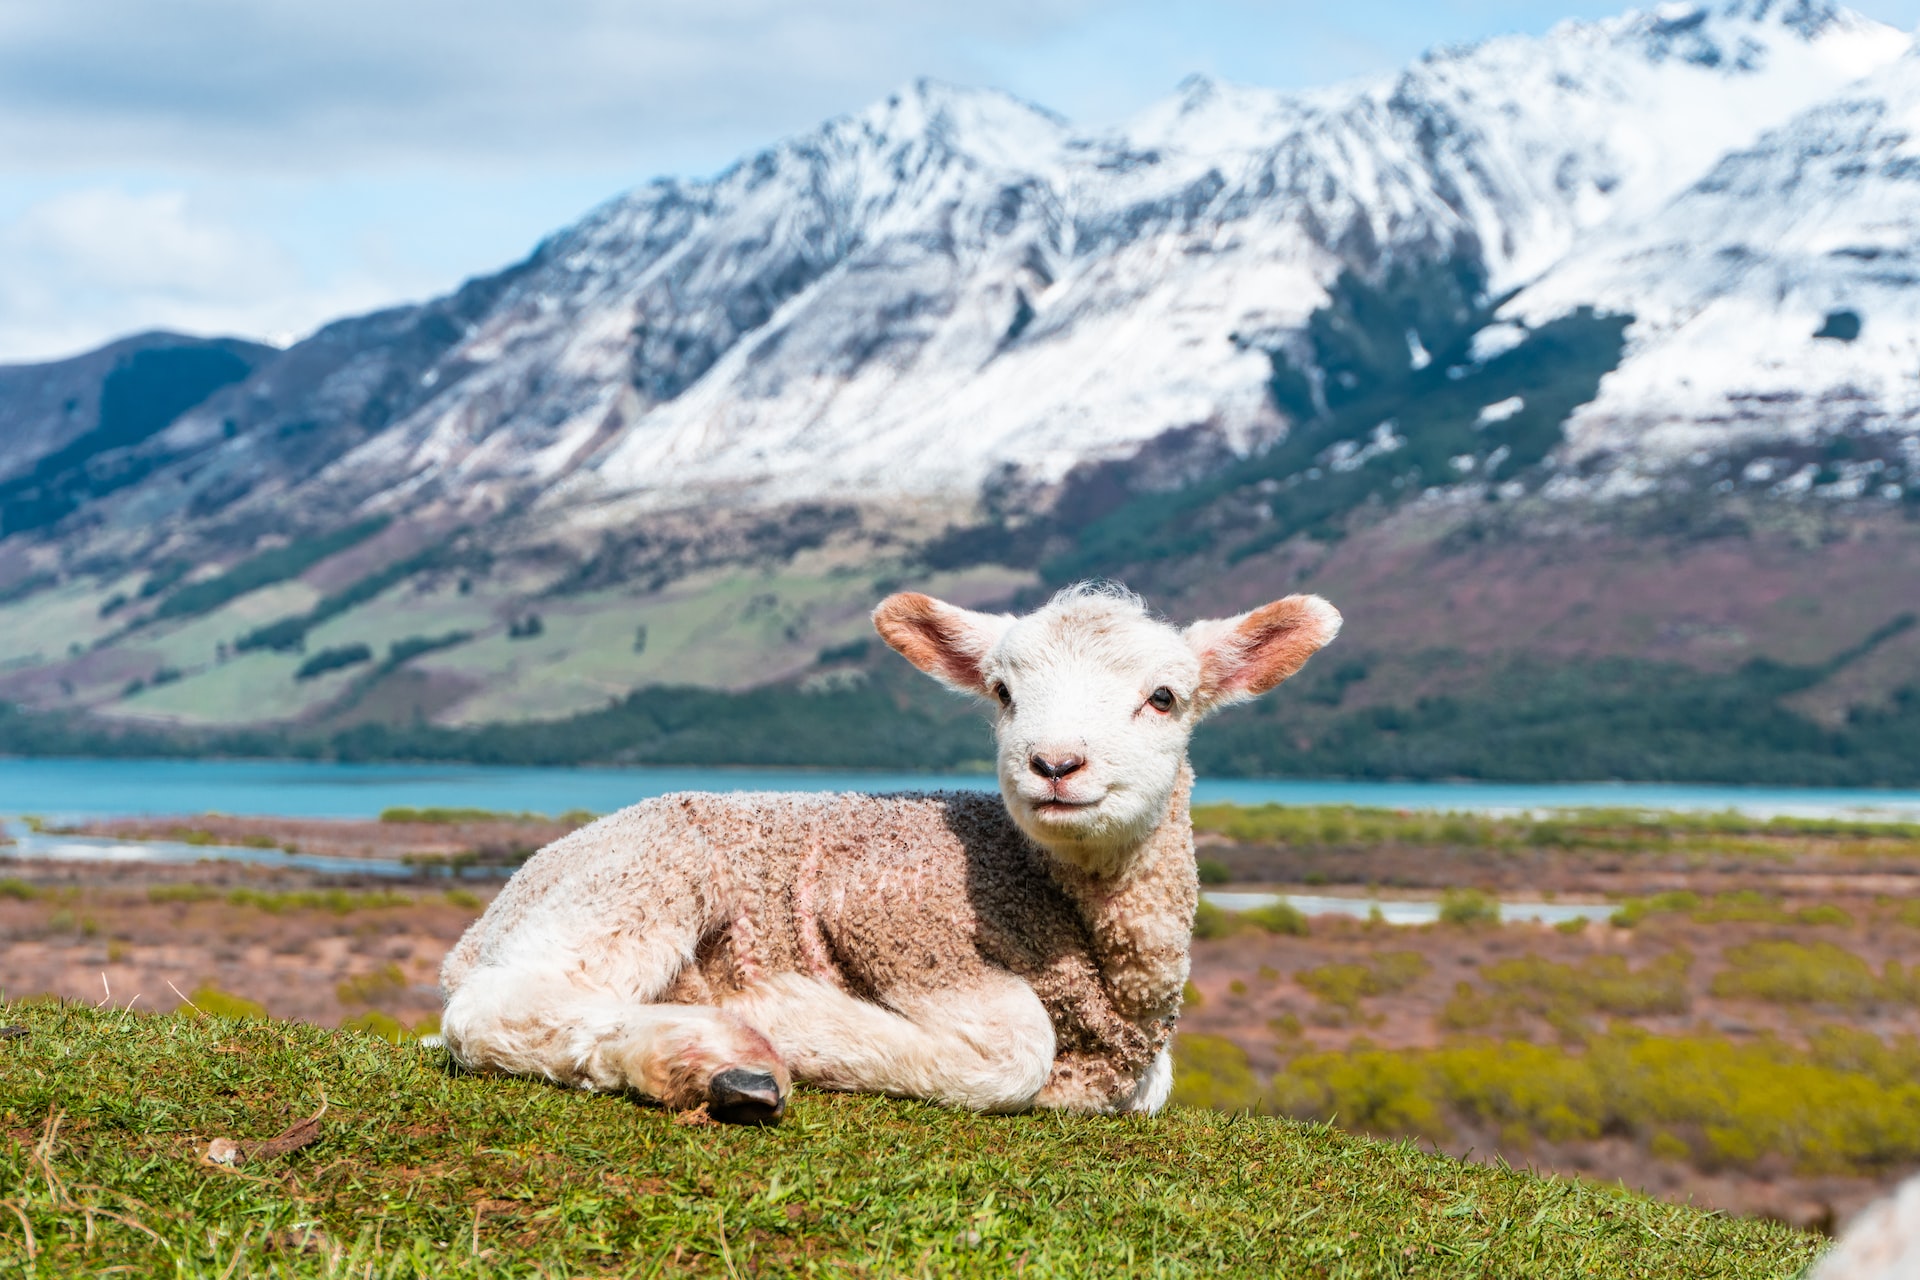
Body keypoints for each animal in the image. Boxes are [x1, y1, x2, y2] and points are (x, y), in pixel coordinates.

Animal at [441, 587, 1344, 1128]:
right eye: (1003, 693)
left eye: (1164, 698)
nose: (1054, 764)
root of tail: (481, 927)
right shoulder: (887, 909)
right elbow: (1014, 1053)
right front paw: (788, 1015)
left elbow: (1150, 1085)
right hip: (642, 877)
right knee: (495, 1009)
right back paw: (710, 1059)